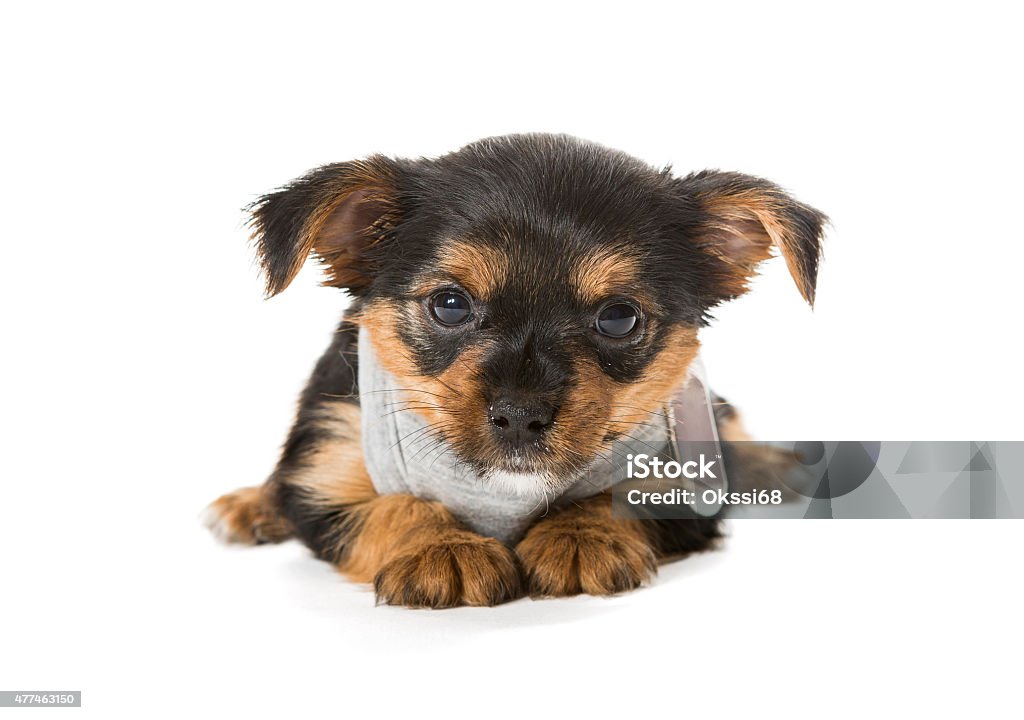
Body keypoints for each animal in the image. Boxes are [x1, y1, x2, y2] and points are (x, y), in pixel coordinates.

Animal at [201, 134, 823, 606]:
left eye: (619, 318)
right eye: (450, 305)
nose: (520, 415)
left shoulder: (690, 480)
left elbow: (625, 493)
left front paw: (579, 533)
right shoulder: (325, 470)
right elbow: (392, 506)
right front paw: (442, 549)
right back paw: (251, 505)